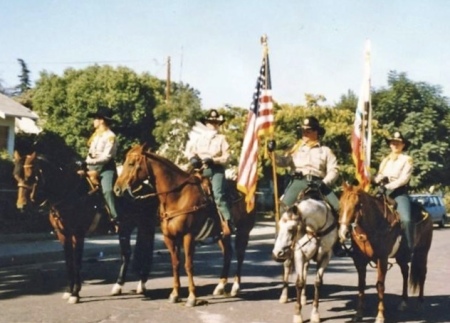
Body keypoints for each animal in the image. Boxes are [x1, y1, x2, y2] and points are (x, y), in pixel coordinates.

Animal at [112, 144, 255, 306]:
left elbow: (188, 265)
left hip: (244, 231)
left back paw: (236, 287)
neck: (177, 196)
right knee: (228, 253)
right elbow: (175, 264)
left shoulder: (188, 236)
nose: (117, 189)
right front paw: (175, 294)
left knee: (240, 255)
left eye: (131, 164)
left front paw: (192, 297)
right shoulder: (169, 238)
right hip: (222, 235)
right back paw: (220, 286)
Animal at [342, 184, 432, 322]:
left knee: (422, 274)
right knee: (405, 272)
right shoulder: (359, 261)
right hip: (401, 256)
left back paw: (420, 303)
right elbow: (361, 285)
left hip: (423, 252)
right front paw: (358, 314)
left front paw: (380, 316)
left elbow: (380, 286)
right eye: (341, 204)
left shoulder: (382, 259)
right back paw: (403, 302)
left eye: (357, 205)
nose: (344, 232)